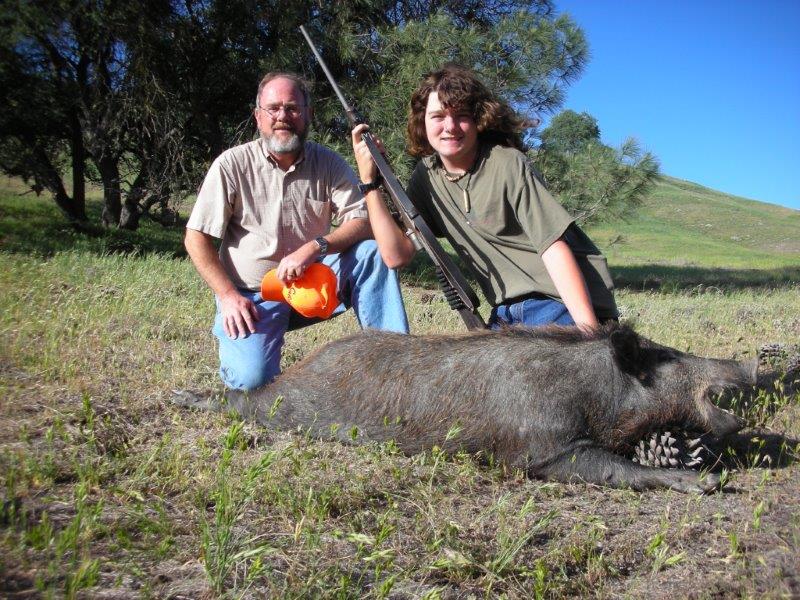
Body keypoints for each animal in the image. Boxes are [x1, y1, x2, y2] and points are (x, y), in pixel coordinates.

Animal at [174, 324, 758, 494]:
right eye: (666, 357)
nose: (749, 363)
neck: (598, 395)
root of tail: (306, 365)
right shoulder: (544, 451)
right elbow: (621, 469)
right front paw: (706, 485)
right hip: (284, 409)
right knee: (240, 400)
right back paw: (182, 398)